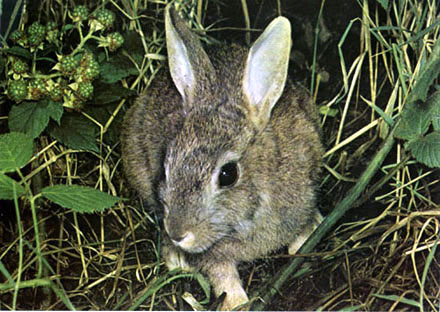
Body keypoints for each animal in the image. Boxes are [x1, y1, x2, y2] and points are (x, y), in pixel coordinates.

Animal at [120, 4, 324, 310]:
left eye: (228, 175)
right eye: (166, 168)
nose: (178, 233)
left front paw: (306, 238)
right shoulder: (212, 253)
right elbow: (220, 271)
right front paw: (238, 302)